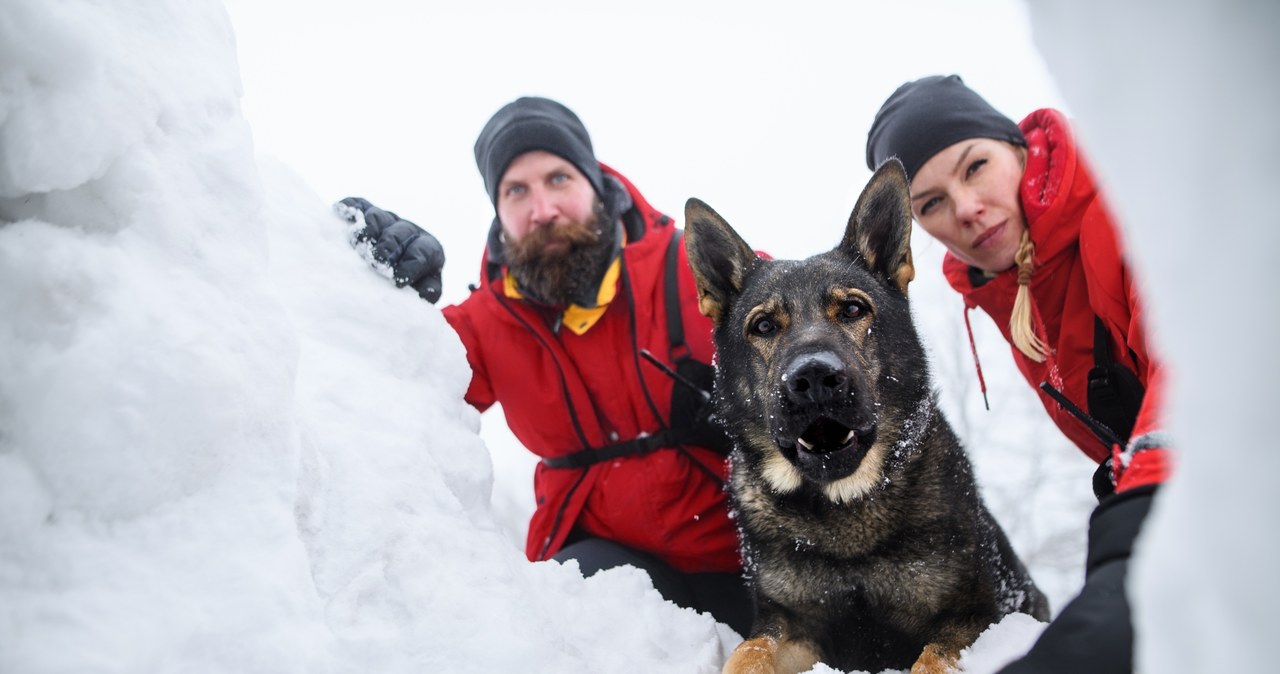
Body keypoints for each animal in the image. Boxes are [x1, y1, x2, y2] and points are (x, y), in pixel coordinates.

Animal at [686, 161, 1044, 670]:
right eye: (764, 326)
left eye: (853, 308)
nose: (814, 378)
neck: (843, 510)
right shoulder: (790, 624)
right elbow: (748, 652)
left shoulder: (972, 617)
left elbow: (931, 659)